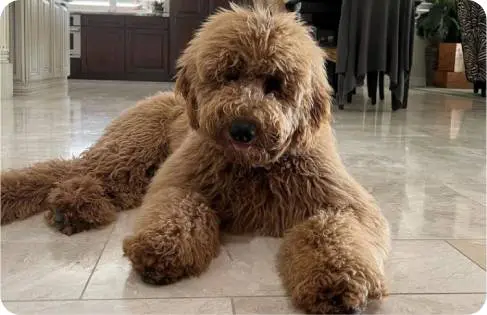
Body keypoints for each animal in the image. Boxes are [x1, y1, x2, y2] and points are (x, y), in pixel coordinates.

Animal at [0, 2, 388, 314]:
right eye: (229, 75)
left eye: (276, 83)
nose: (242, 128)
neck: (253, 168)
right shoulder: (179, 181)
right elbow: (181, 209)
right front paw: (162, 249)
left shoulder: (343, 202)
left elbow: (333, 232)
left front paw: (337, 283)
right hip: (130, 151)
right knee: (64, 170)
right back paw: (60, 203)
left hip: (135, 172)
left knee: (101, 184)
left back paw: (76, 208)